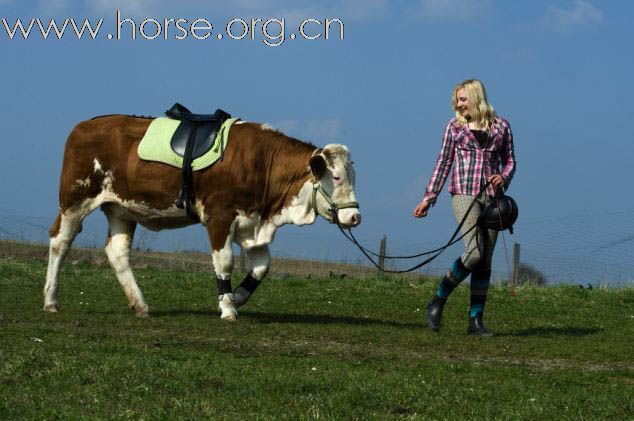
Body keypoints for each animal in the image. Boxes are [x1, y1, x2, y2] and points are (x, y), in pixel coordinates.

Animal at [43, 114, 360, 318]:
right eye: (336, 177)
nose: (355, 217)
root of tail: (86, 125)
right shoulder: (219, 216)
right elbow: (225, 262)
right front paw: (227, 307)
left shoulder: (252, 223)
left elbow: (262, 266)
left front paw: (237, 297)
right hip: (75, 200)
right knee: (60, 242)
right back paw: (50, 300)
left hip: (121, 209)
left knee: (117, 252)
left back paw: (140, 306)